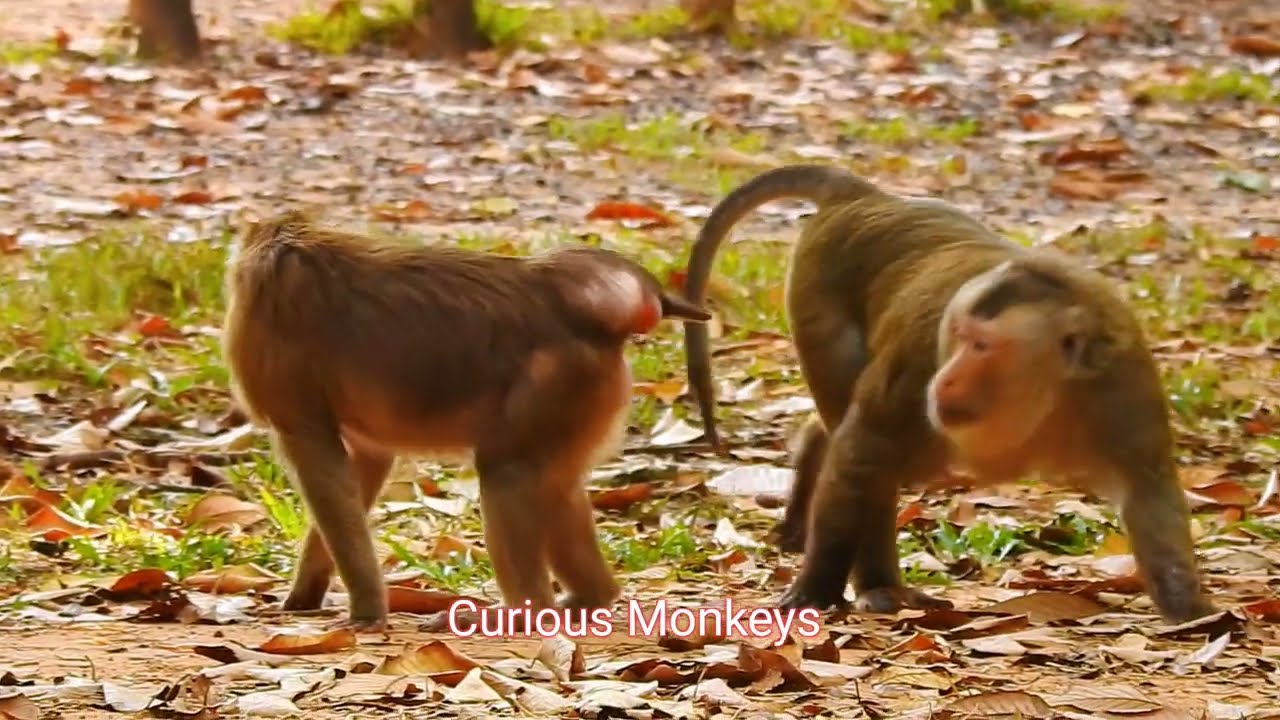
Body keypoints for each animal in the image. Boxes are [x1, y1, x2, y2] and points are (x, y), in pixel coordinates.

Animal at [221, 212, 711, 632]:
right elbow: (365, 461)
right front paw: (306, 595)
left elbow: (319, 459)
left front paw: (365, 611)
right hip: (584, 390)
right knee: (555, 483)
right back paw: (590, 598)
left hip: (556, 379)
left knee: (507, 473)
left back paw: (525, 613)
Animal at [680, 164, 1217, 624]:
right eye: (956, 336)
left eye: (980, 345)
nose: (945, 380)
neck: (1042, 397)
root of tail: (867, 198)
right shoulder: (917, 363)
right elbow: (861, 452)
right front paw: (815, 591)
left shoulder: (1123, 377)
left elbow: (1147, 490)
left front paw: (1192, 610)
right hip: (818, 292)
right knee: (865, 449)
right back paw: (878, 582)